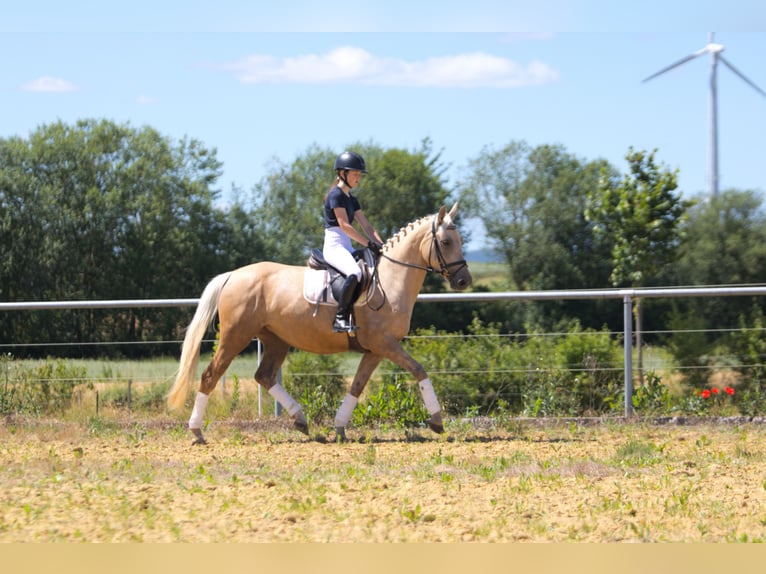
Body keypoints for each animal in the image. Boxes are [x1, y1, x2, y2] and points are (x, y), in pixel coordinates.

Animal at [165, 204, 472, 446]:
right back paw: (197, 432)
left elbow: (357, 386)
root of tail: (233, 275)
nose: (464, 281)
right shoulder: (384, 343)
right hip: (235, 336)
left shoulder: (375, 350)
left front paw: (339, 427)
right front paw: (437, 421)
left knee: (264, 376)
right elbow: (419, 370)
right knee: (210, 376)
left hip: (276, 340)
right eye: (446, 242)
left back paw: (301, 420)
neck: (391, 279)